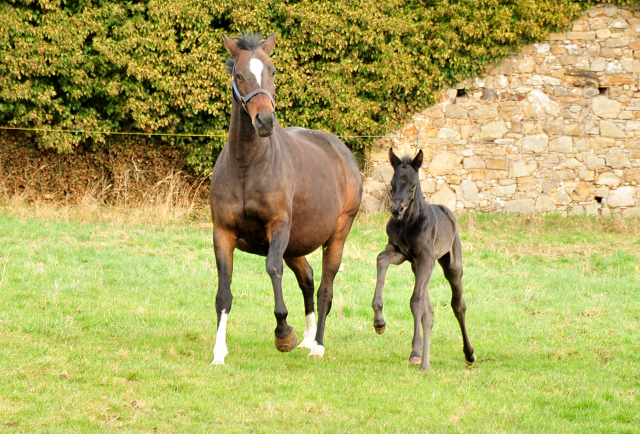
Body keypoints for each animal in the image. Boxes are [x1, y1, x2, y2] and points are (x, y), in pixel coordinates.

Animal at [209, 32, 360, 364]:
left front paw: (283, 333)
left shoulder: (277, 227)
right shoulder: (223, 233)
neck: (246, 166)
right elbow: (224, 291)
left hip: (336, 237)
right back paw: (307, 338)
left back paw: (316, 346)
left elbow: (272, 269)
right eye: (239, 75)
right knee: (308, 278)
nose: (265, 121)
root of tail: (340, 151)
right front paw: (218, 353)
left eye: (273, 71)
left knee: (325, 289)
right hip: (296, 245)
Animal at [372, 149, 472, 370]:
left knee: (458, 304)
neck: (409, 223)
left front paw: (415, 353)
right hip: (416, 267)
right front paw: (379, 322)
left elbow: (415, 300)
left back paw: (469, 353)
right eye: (392, 183)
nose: (396, 210)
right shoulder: (399, 252)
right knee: (430, 311)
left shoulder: (426, 258)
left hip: (451, 266)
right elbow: (381, 258)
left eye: (412, 185)